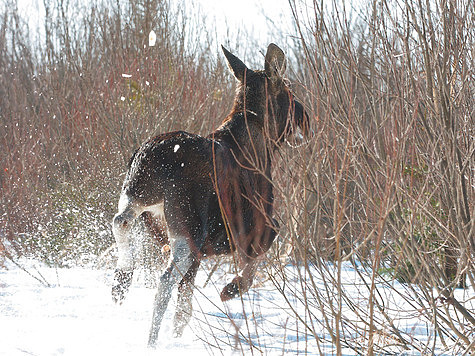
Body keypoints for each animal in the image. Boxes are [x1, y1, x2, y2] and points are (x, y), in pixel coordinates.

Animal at [112, 43, 312, 346]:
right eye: (289, 90)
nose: (306, 117)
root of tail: (155, 156)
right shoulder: (259, 225)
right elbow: (253, 263)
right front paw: (231, 288)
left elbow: (184, 309)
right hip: (189, 229)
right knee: (164, 279)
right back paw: (151, 339)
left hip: (138, 196)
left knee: (120, 221)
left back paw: (121, 280)